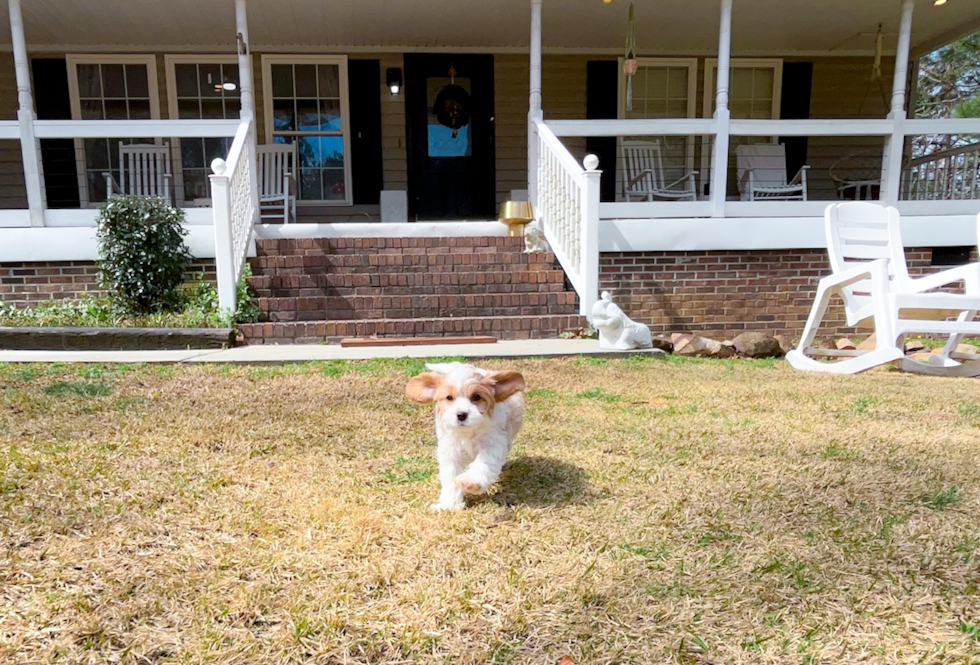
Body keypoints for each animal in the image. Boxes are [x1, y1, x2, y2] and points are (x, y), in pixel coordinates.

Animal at [406, 364, 528, 508]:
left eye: (476, 397)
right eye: (449, 397)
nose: (461, 414)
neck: (468, 432)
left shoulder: (493, 443)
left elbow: (484, 463)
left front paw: (470, 482)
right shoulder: (451, 450)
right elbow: (450, 474)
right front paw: (450, 505)